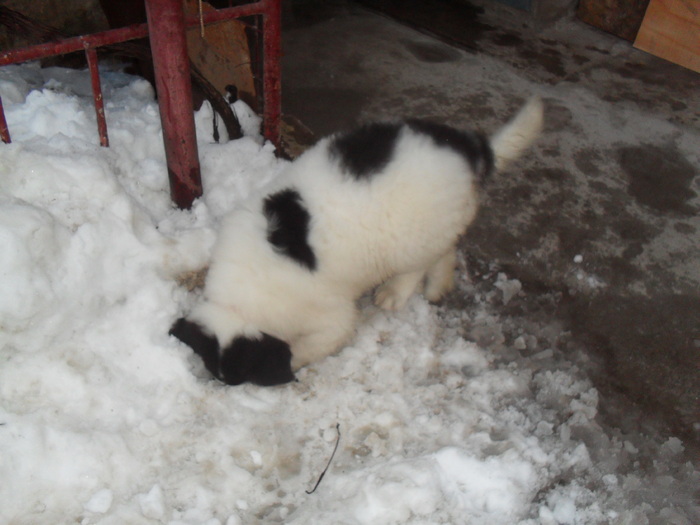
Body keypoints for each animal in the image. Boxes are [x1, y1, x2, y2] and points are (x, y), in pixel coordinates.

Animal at [170, 97, 540, 384]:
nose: (223, 385)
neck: (240, 302)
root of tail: (470, 149)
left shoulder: (331, 319)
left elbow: (311, 345)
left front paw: (295, 362)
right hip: (437, 225)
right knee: (446, 247)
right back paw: (439, 286)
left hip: (412, 238)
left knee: (416, 266)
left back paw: (394, 293)